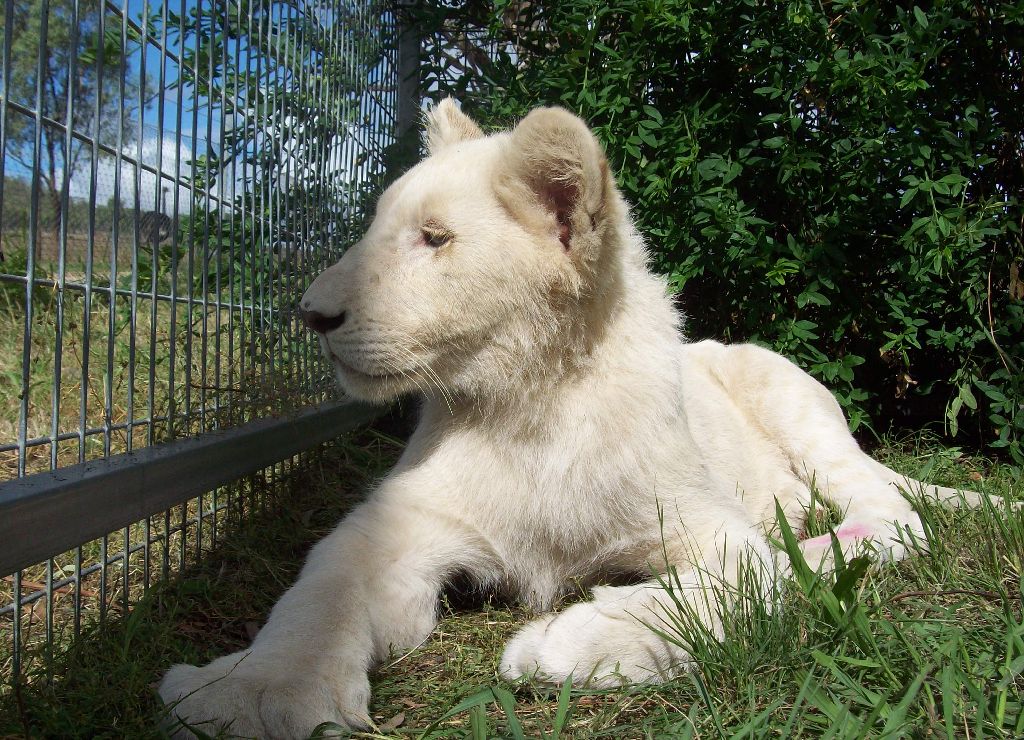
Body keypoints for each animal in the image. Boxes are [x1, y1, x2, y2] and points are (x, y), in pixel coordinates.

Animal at [160, 100, 993, 738]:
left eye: (435, 239)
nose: (311, 314)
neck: (530, 404)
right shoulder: (402, 523)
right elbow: (318, 590)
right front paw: (253, 695)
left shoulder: (712, 528)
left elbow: (735, 583)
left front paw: (567, 643)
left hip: (793, 396)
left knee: (893, 512)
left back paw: (814, 551)